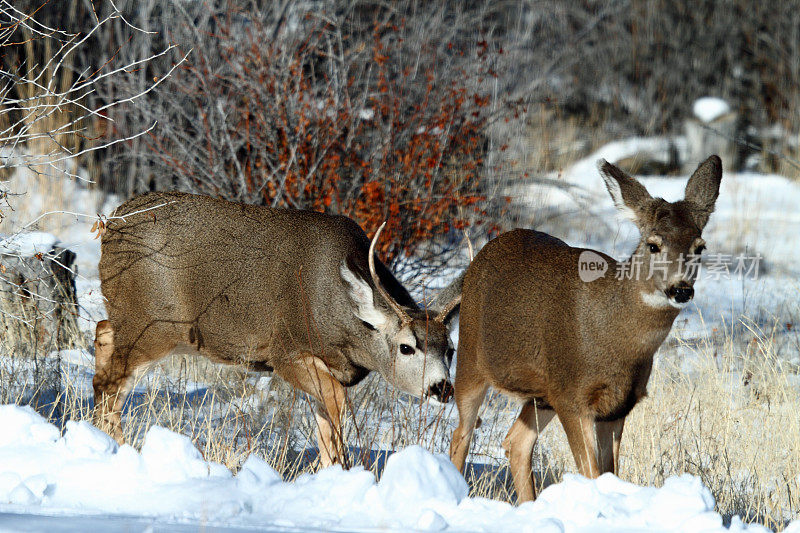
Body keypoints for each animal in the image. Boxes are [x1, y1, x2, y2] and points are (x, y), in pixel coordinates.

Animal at [94, 192, 460, 466]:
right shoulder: (285, 351)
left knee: (102, 333)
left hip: (134, 321)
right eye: (406, 347)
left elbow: (326, 420)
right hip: (150, 325)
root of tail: (111, 225)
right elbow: (337, 403)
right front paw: (336, 469)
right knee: (110, 381)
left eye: (450, 350)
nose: (442, 387)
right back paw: (118, 449)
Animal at [450, 156, 724, 500]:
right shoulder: (572, 395)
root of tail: (481, 256)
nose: (681, 289)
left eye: (699, 247)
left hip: (542, 393)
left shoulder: (618, 405)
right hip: (471, 358)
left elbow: (610, 473)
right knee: (461, 435)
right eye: (653, 245)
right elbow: (591, 473)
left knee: (516, 442)